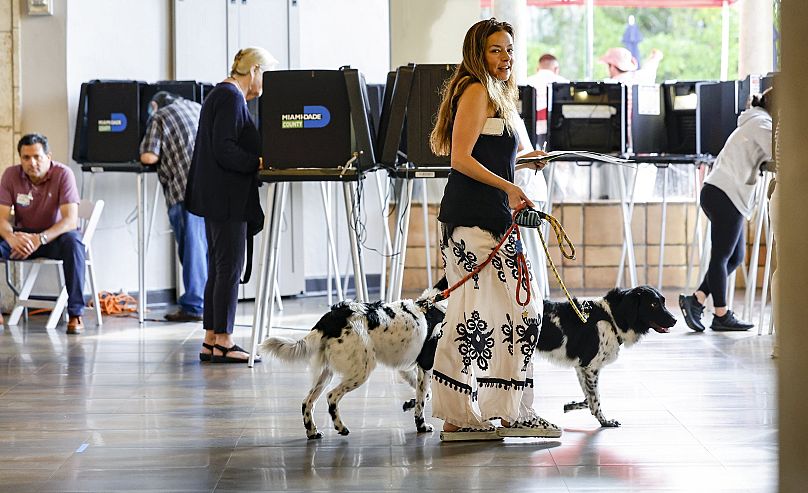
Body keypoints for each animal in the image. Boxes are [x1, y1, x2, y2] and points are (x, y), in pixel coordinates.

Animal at [258, 278, 448, 440]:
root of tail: (331, 319)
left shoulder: (408, 368)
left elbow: (425, 394)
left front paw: (409, 403)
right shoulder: (426, 365)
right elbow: (422, 400)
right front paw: (421, 426)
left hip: (326, 374)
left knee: (307, 402)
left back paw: (312, 431)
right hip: (361, 371)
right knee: (331, 397)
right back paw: (340, 427)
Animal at [540, 284, 680, 426]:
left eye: (663, 302)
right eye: (653, 304)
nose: (675, 320)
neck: (612, 318)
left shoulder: (582, 367)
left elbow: (588, 397)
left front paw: (570, 405)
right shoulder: (591, 367)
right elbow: (595, 399)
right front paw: (605, 421)